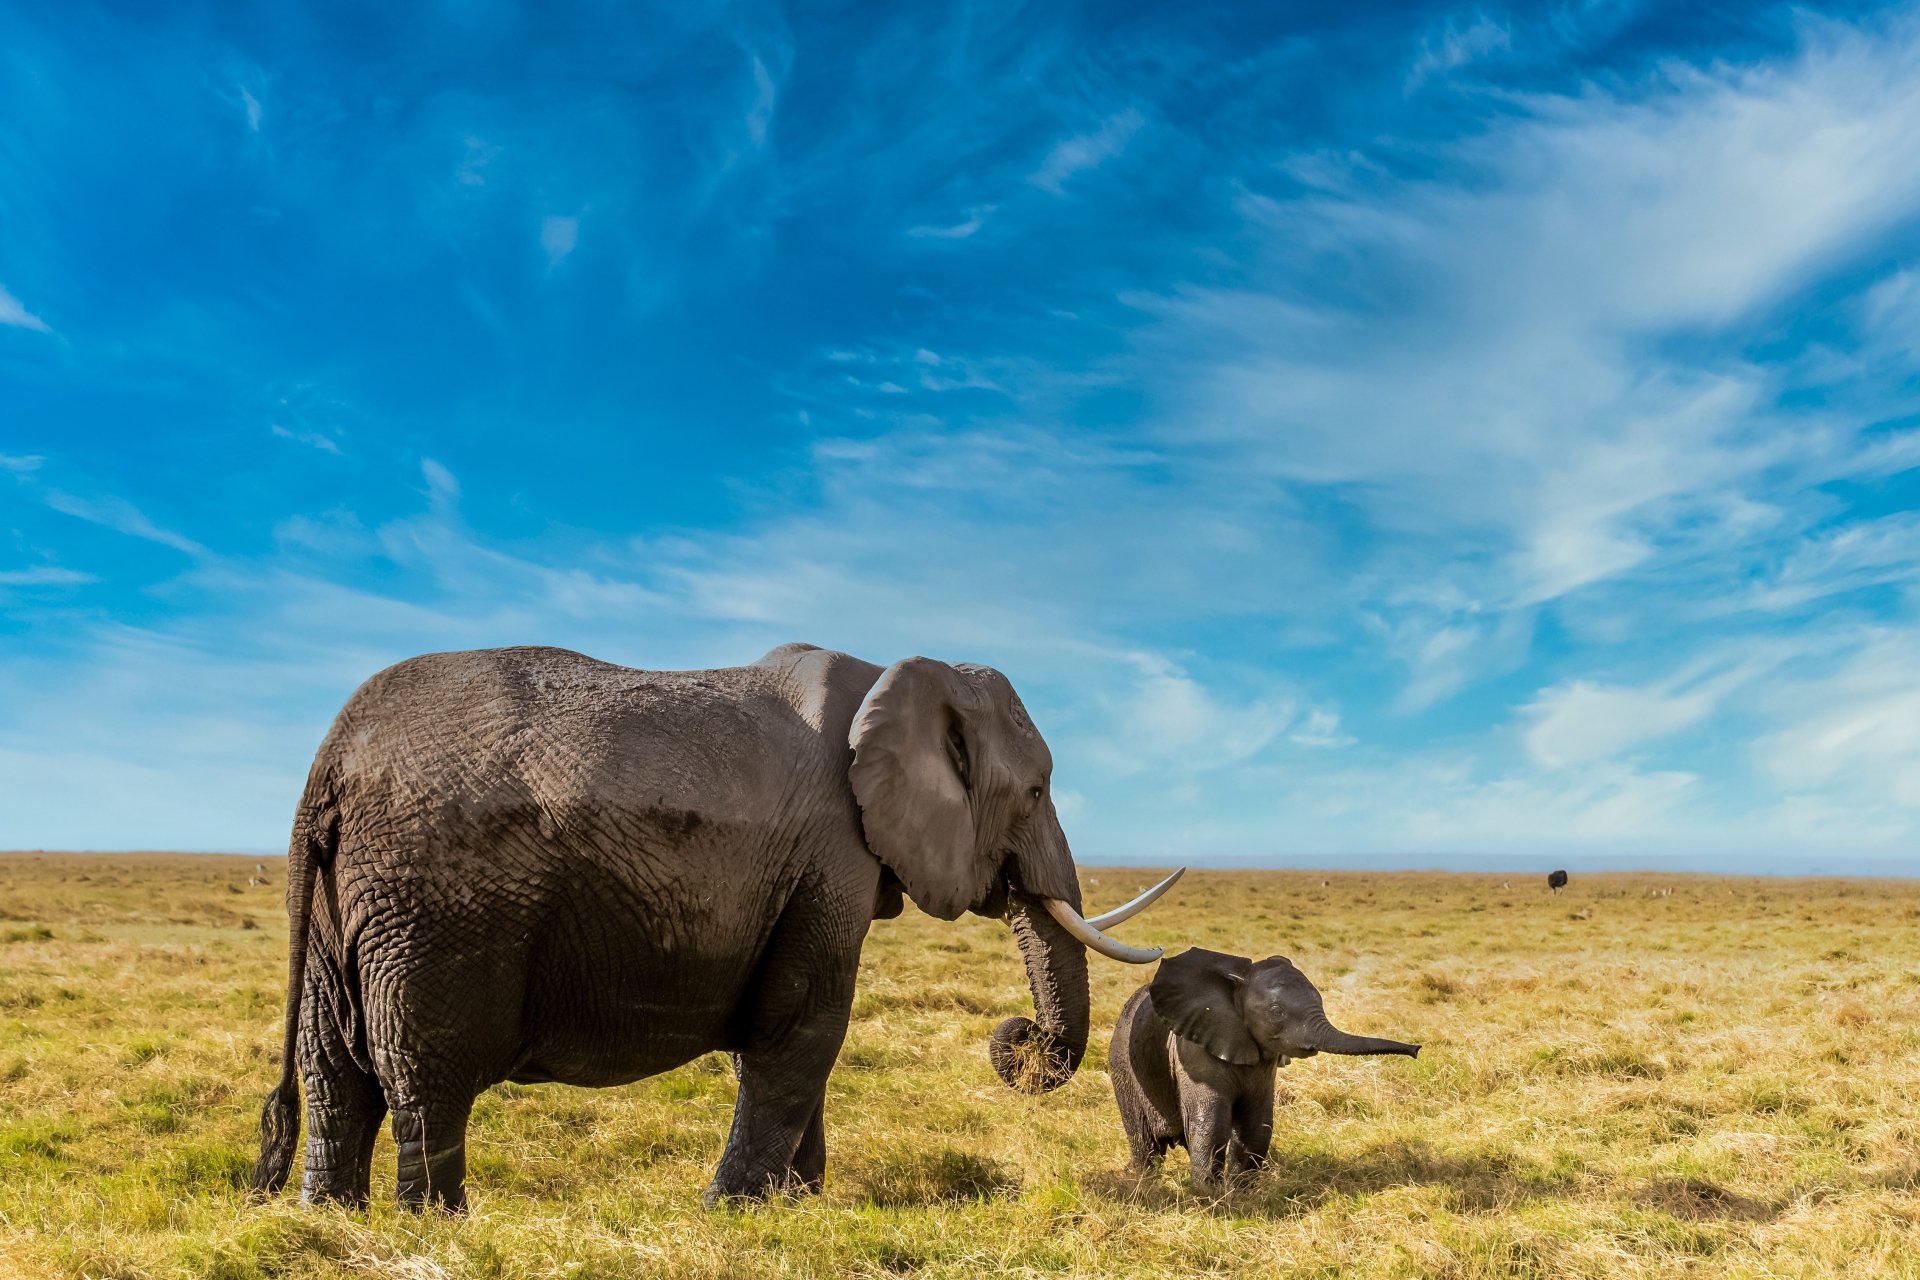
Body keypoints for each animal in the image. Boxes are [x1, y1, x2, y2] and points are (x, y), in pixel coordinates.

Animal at [249, 642, 1184, 1209]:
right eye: (1036, 791)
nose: (1021, 1036)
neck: (898, 673)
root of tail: (327, 762)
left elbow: (774, 1029)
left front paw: (795, 1203)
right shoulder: (831, 855)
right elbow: (807, 1025)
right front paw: (738, 1209)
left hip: (346, 903)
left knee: (334, 1074)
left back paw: (337, 1222)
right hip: (435, 905)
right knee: (425, 1077)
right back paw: (439, 1226)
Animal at [1109, 948, 1418, 1190]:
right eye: (1276, 1012)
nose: (1417, 1050)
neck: (1238, 981)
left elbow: (1257, 1125)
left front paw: (1241, 1193)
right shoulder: (1193, 1050)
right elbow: (1211, 1124)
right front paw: (1208, 1198)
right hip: (1123, 1066)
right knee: (1144, 1143)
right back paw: (1143, 1184)